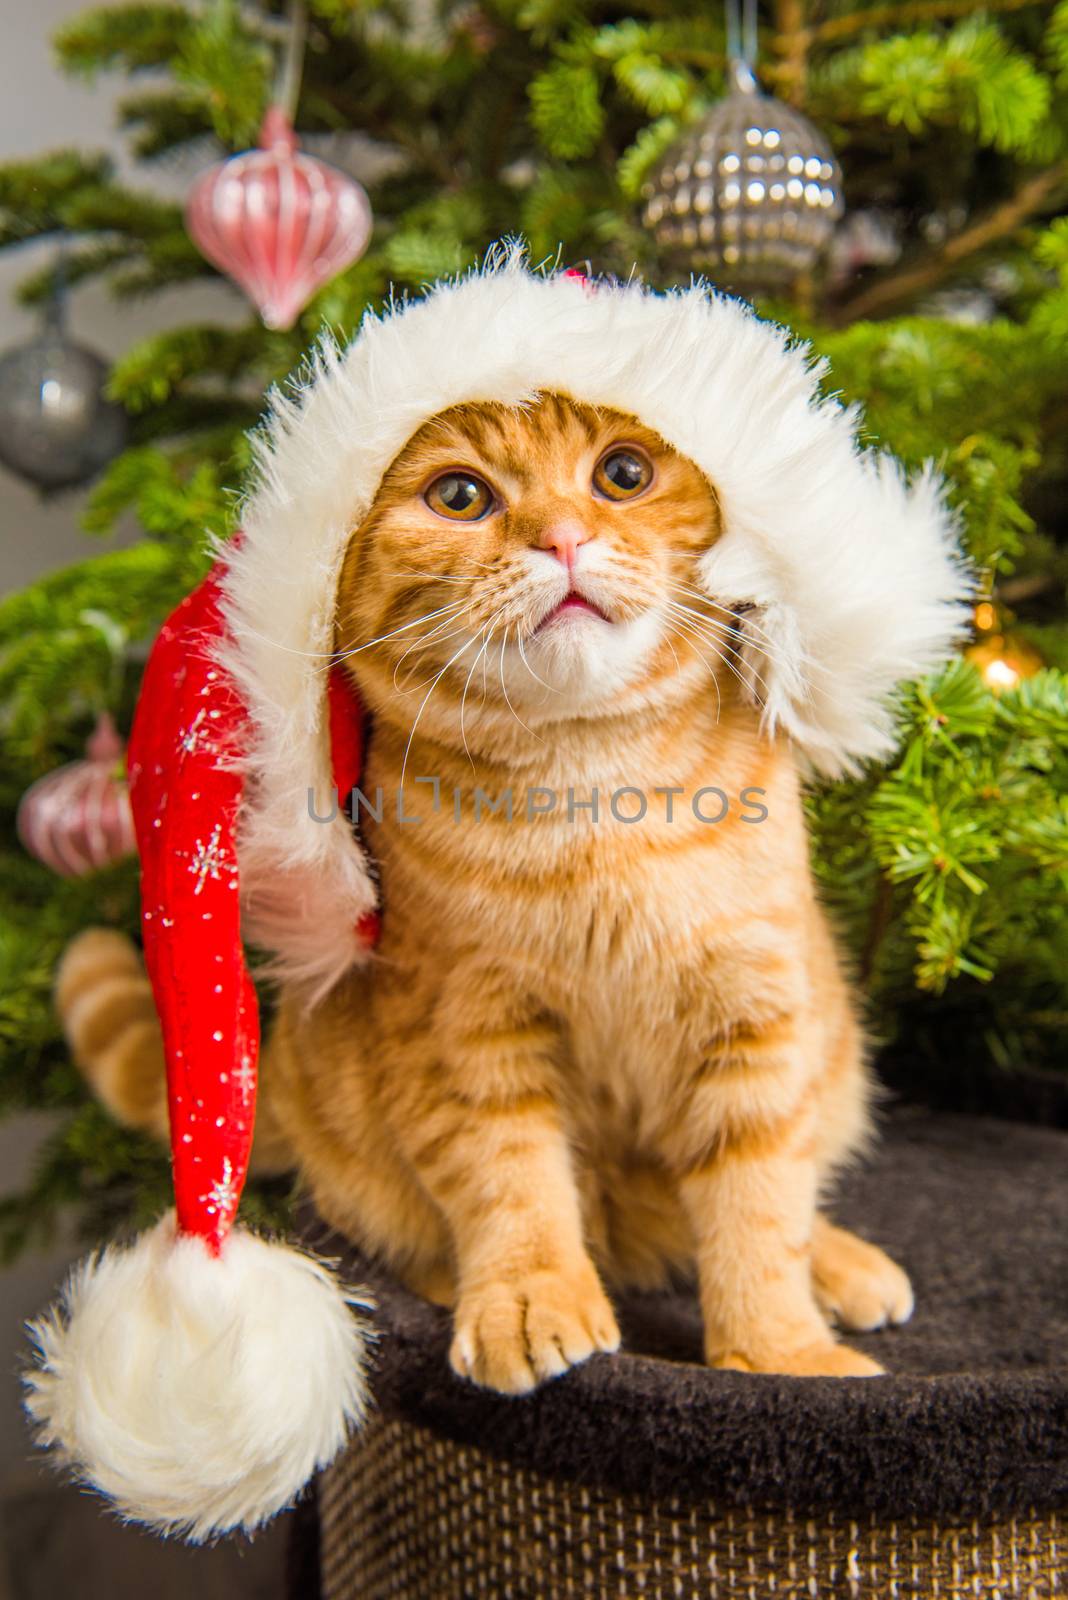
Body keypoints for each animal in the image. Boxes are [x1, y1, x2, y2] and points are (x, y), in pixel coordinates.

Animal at [58, 390, 908, 1388]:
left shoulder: (756, 1018)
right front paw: (531, 1297)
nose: (565, 538)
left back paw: (842, 1266)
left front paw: (779, 1354)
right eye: (459, 495)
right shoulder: (464, 1030)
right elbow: (511, 1181)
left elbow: (760, 1205)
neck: (591, 791)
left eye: (624, 474)